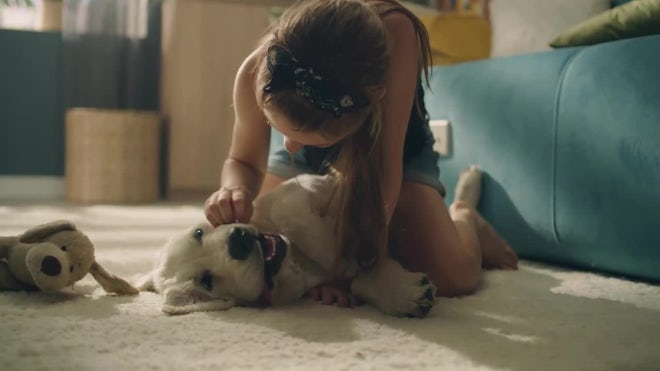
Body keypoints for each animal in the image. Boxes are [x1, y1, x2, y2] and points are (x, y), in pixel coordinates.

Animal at [139, 174, 436, 316]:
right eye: (206, 281)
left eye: (199, 233)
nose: (238, 240)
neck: (298, 265)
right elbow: (358, 278)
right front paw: (405, 292)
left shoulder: (305, 183)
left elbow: (287, 207)